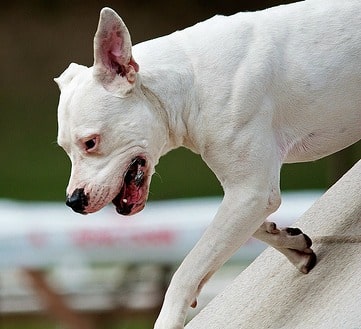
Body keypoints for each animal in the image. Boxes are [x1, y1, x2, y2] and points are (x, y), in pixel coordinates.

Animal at [54, 1, 360, 326]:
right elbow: (242, 231)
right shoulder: (248, 193)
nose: (73, 201)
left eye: (90, 142)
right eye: (64, 148)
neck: (188, 84)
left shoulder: (251, 191)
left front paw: (168, 319)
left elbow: (188, 268)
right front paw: (291, 243)